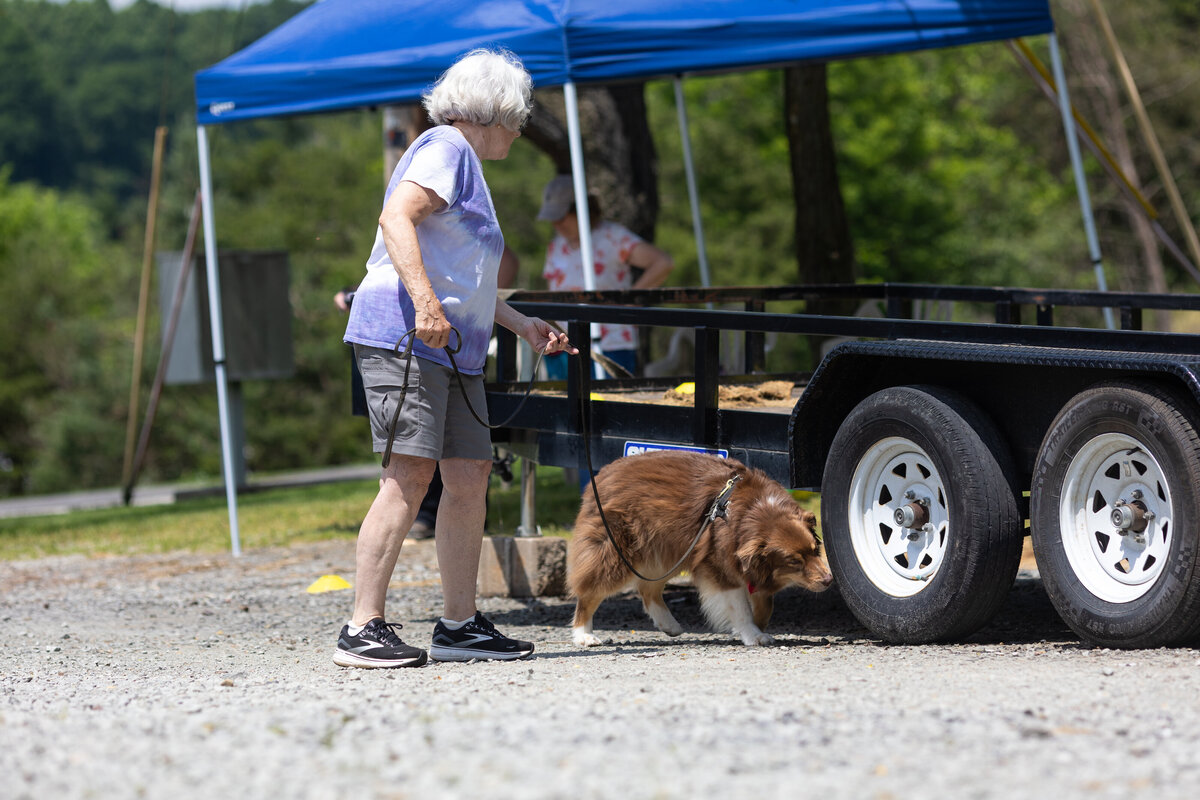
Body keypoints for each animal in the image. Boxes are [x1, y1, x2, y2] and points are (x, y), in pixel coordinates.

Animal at [566, 450, 830, 642]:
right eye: (793, 561)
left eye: (815, 550)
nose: (829, 580)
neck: (755, 512)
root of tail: (600, 476)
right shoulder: (720, 565)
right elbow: (740, 607)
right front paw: (752, 634)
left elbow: (766, 605)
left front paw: (758, 627)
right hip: (617, 552)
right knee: (589, 592)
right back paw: (584, 635)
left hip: (669, 551)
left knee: (648, 589)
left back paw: (669, 625)